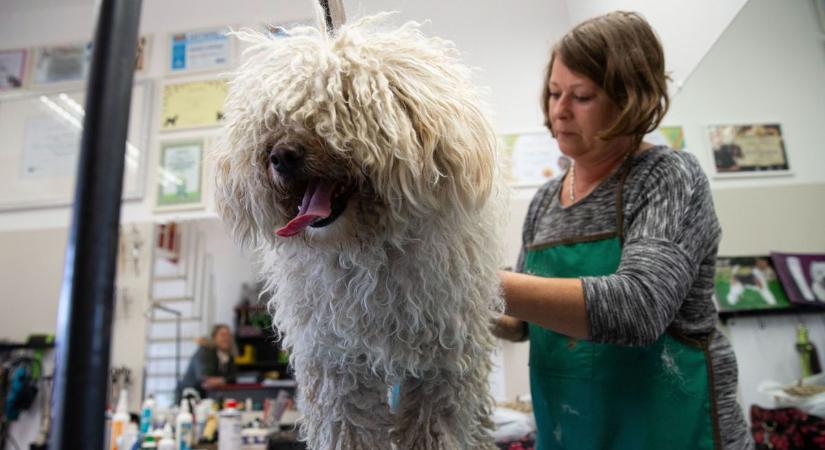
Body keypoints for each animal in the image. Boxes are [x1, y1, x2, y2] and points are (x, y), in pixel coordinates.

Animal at [214, 14, 502, 450]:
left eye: (342, 104)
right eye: (273, 117)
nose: (280, 155)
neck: (365, 248)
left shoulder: (442, 362)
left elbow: (433, 426)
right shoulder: (336, 364)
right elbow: (345, 427)